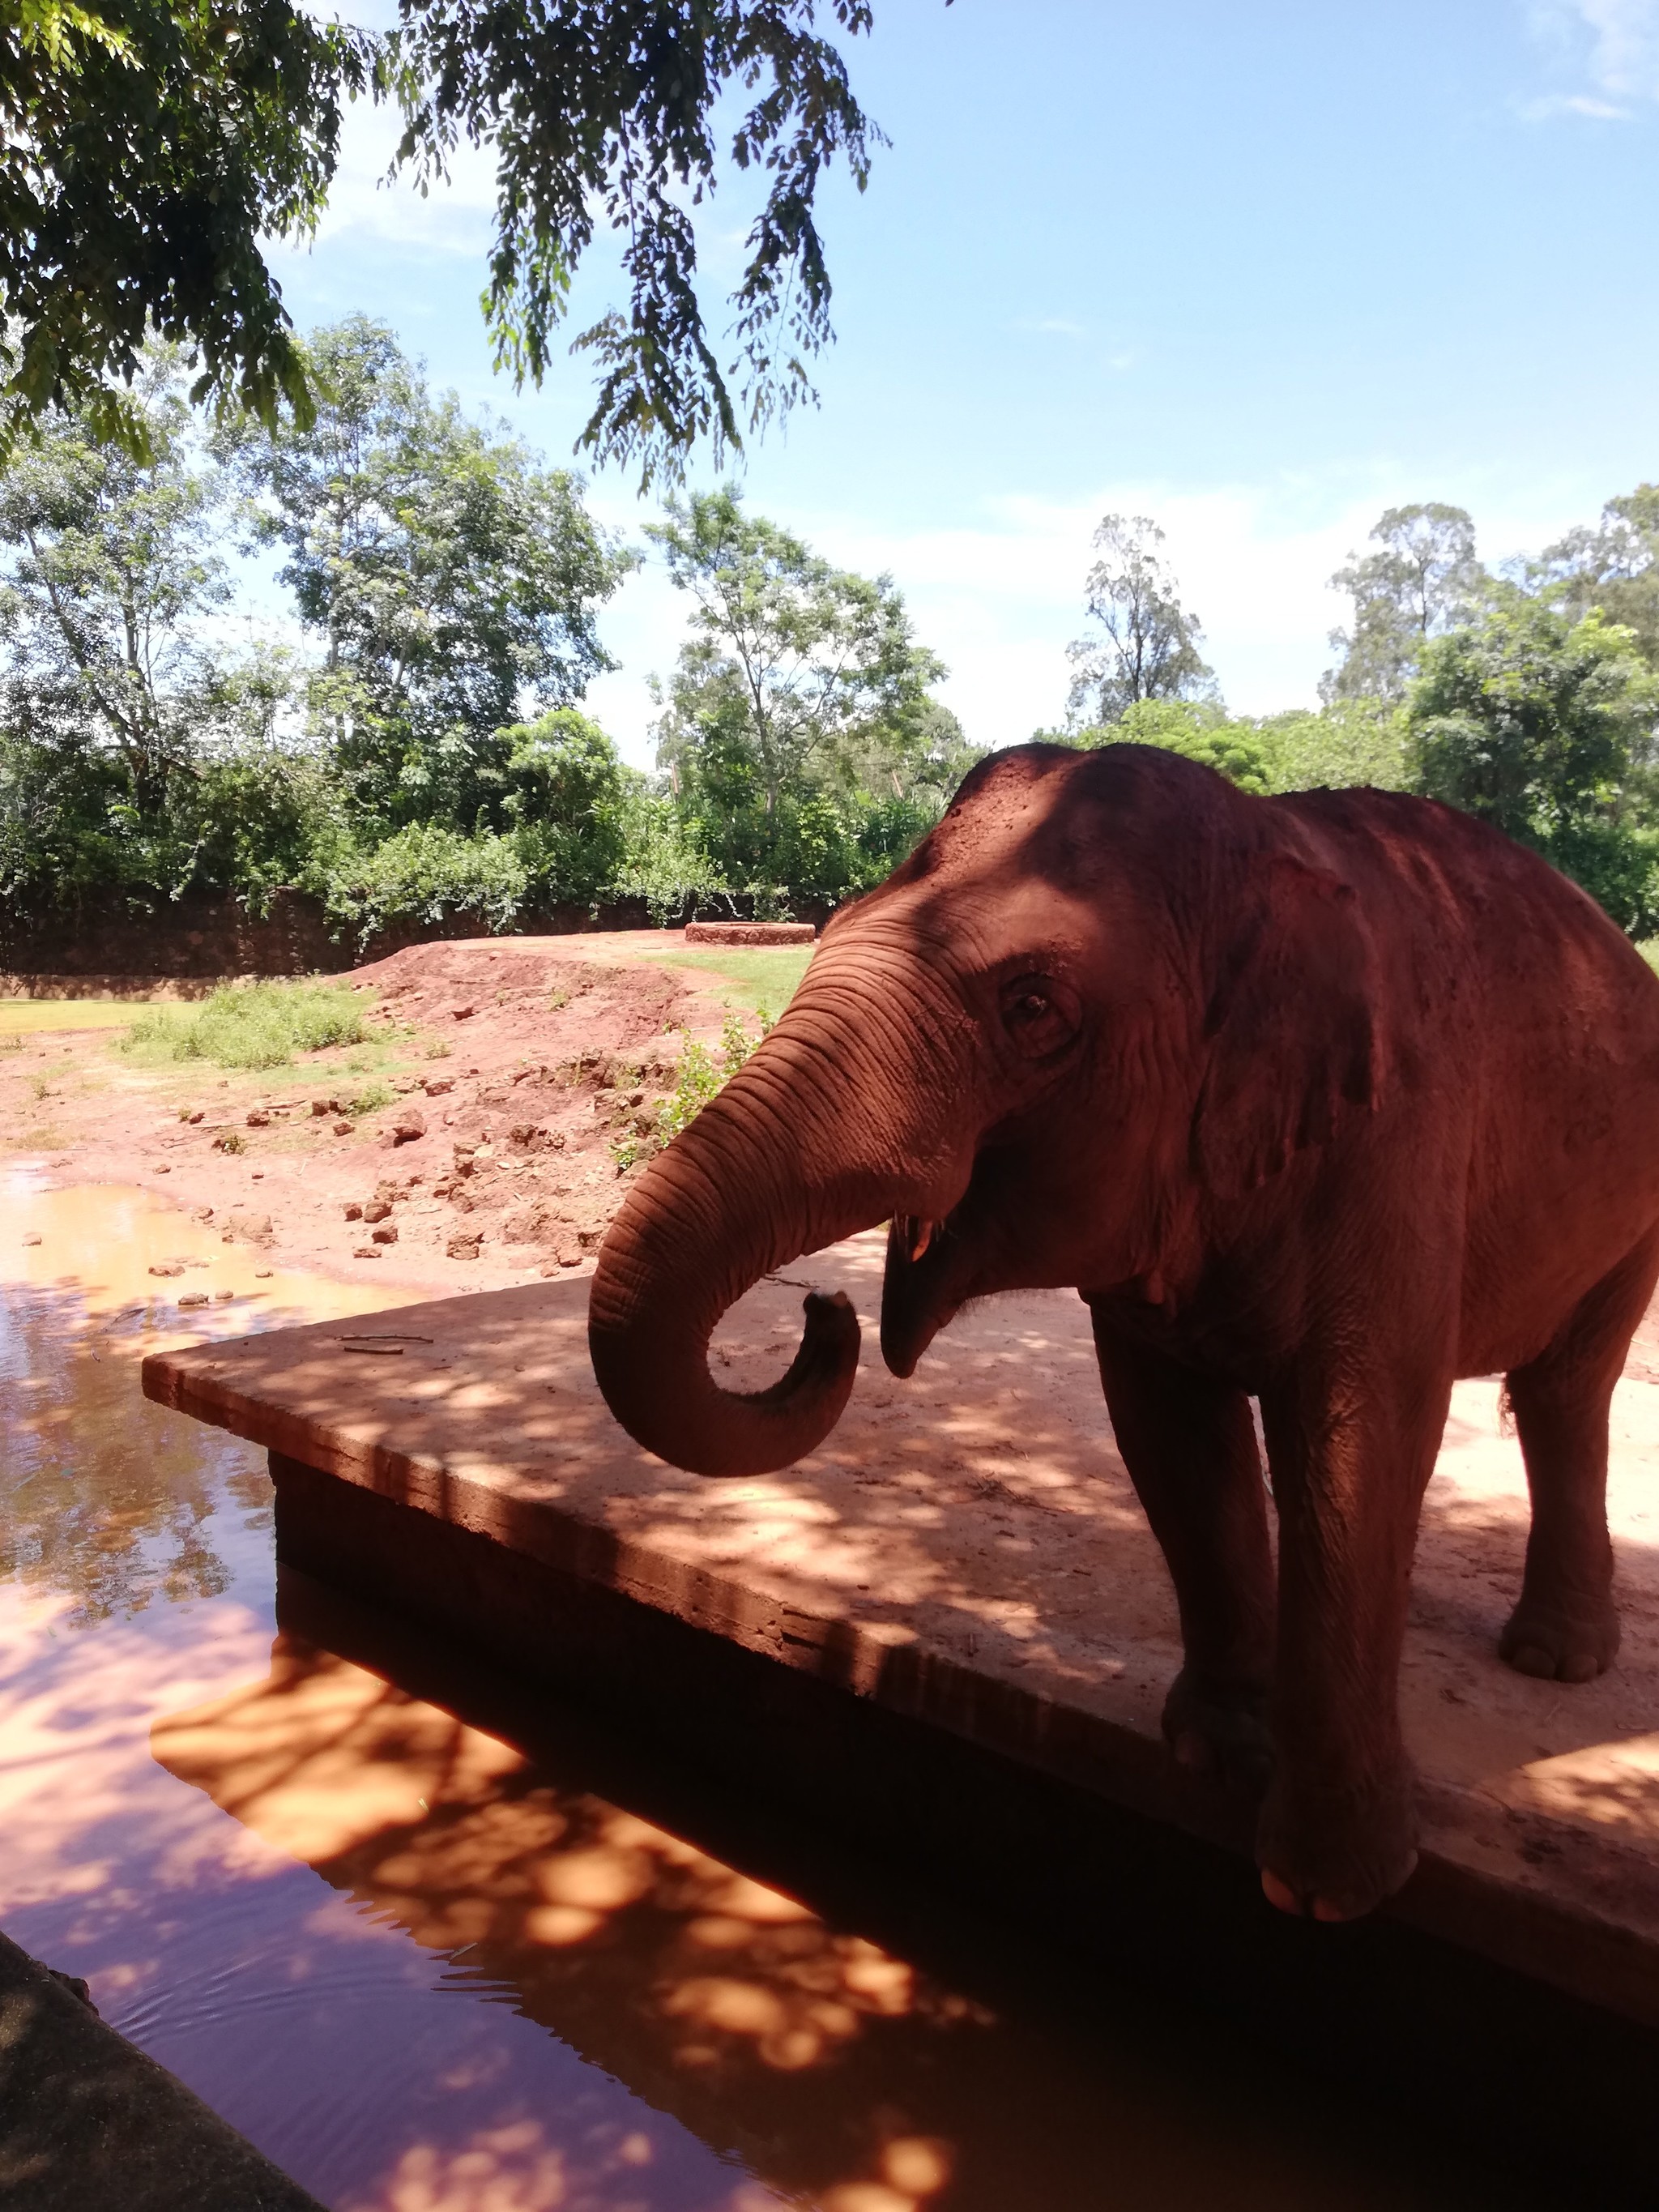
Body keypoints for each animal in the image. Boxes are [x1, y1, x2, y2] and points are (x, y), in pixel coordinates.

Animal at [592, 738, 1659, 1919]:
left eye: (1031, 1006)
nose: (823, 1314)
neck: (1264, 852)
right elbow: (1169, 1429)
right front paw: (1216, 1754)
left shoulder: (1399, 1140)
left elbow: (1359, 1435)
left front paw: (1327, 1891)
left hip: (1635, 1203)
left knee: (1567, 1387)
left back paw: (1554, 1661)